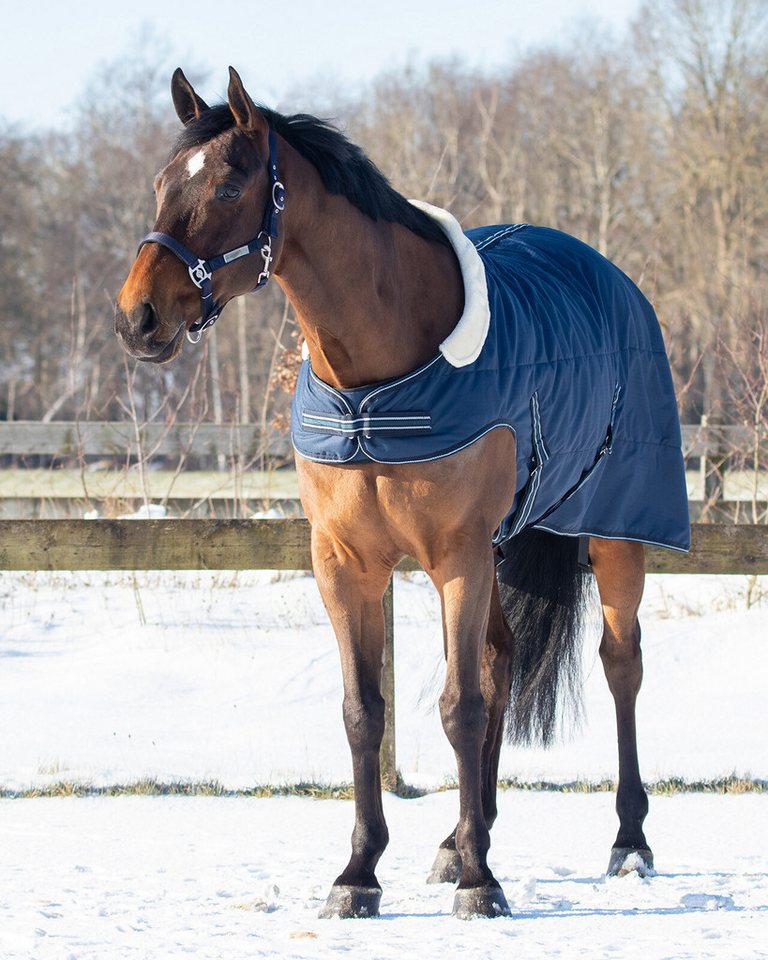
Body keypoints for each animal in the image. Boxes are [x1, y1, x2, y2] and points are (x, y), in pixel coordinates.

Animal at [114, 67, 690, 920]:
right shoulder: (346, 565)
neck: (375, 382)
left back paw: (628, 841)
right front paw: (362, 873)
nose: (137, 317)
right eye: (160, 183)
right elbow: (366, 712)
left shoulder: (455, 556)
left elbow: (460, 705)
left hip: (614, 534)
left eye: (227, 185)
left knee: (620, 663)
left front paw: (483, 885)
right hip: (501, 552)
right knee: (502, 658)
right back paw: (461, 837)